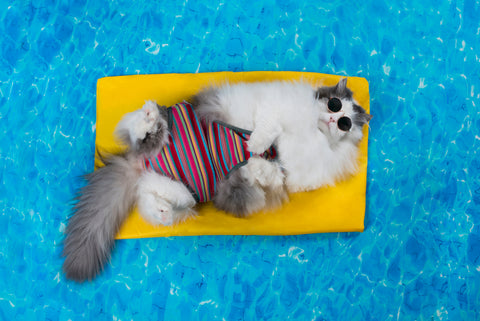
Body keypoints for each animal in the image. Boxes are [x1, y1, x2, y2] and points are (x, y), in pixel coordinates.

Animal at [62, 77, 372, 280]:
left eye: (345, 123)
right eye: (334, 106)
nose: (334, 121)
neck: (312, 133)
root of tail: (140, 163)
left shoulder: (284, 173)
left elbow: (268, 172)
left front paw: (255, 161)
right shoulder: (273, 110)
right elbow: (268, 129)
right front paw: (255, 144)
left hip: (184, 193)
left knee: (150, 195)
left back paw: (163, 211)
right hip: (166, 123)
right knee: (138, 131)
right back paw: (147, 119)